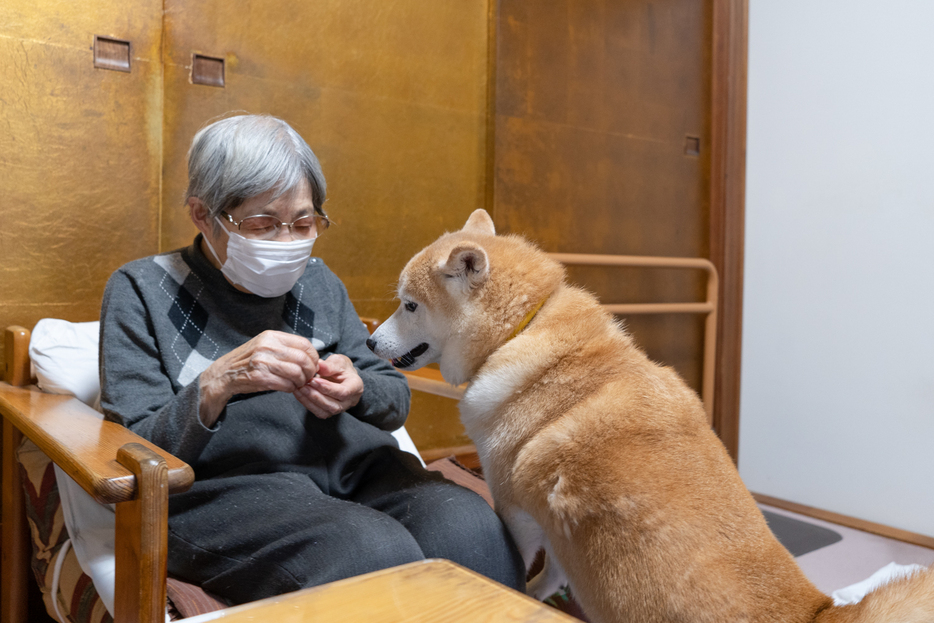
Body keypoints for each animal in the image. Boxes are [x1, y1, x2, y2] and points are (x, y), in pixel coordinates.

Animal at [366, 211, 934, 623]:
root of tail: (816, 611)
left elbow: (527, 563)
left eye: (409, 305)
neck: (522, 332)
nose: (368, 343)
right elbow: (554, 575)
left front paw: (523, 590)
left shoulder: (516, 508)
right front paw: (539, 594)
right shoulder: (559, 538)